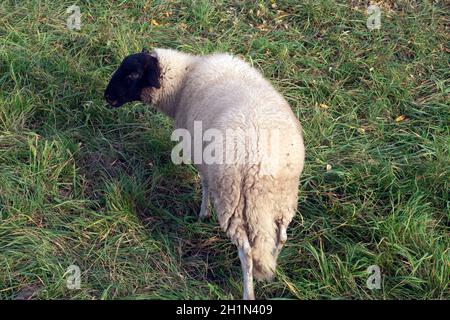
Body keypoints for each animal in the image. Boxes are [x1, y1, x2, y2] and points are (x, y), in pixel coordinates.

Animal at [103, 48, 304, 300]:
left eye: (133, 74)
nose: (107, 96)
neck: (183, 79)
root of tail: (260, 167)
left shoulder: (199, 153)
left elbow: (205, 183)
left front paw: (202, 213)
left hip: (232, 199)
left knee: (247, 251)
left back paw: (248, 291)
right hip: (283, 200)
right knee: (281, 237)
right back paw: (270, 271)